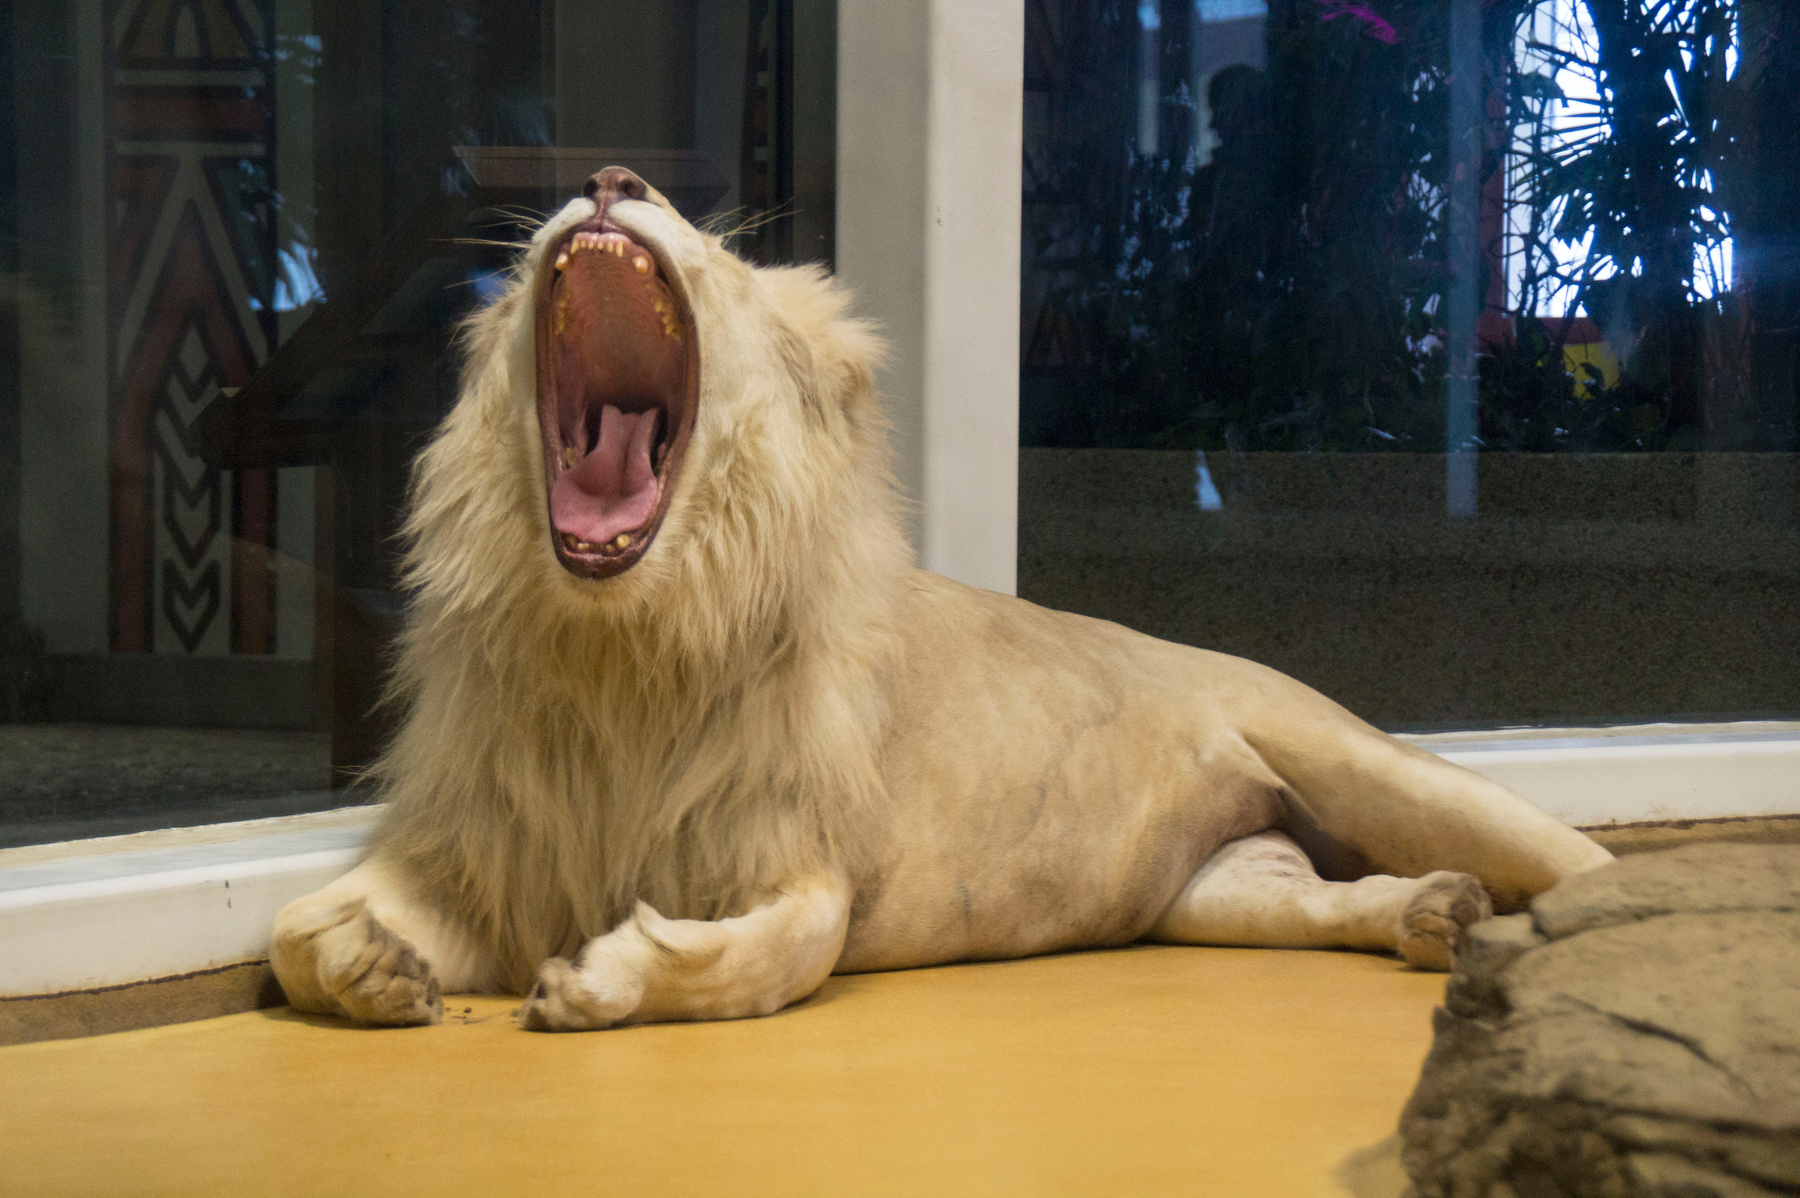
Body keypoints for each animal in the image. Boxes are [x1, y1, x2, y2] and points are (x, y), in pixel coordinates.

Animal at [269, 167, 1612, 1030]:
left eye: (726, 256)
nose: (610, 177)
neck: (622, 648)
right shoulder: (485, 856)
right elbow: (291, 936)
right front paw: (372, 967)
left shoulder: (807, 857)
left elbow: (779, 955)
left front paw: (602, 978)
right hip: (1223, 890)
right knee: (1326, 898)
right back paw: (1432, 913)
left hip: (1372, 764)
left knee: (1582, 859)